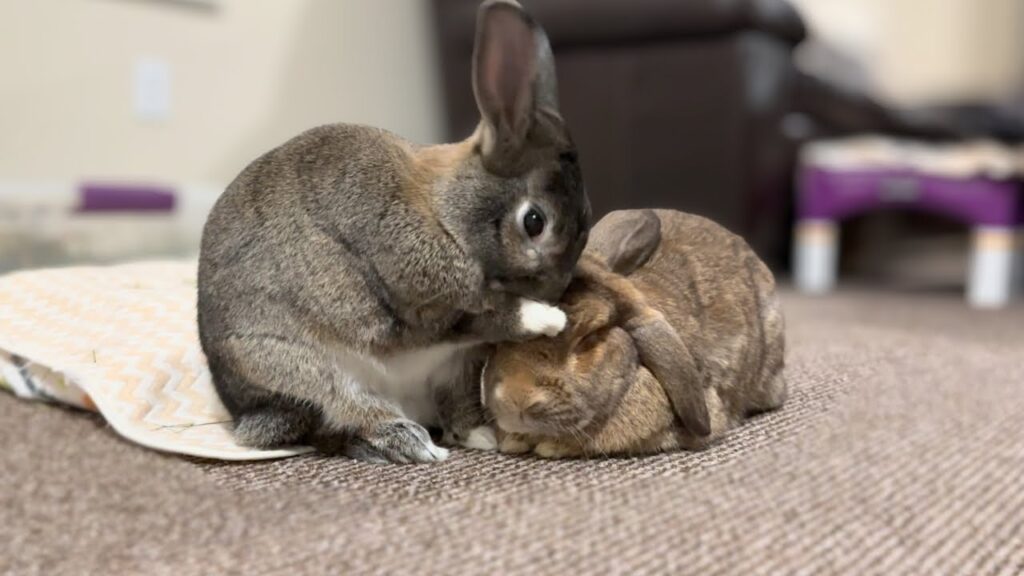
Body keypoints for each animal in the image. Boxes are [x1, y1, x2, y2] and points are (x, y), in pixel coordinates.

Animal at [197, 0, 590, 464]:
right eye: (534, 222)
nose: (555, 290)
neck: (447, 214)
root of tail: (247, 413)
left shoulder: (460, 356)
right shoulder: (425, 305)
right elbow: (489, 316)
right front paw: (549, 318)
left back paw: (476, 436)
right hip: (299, 364)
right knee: (349, 408)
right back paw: (414, 444)